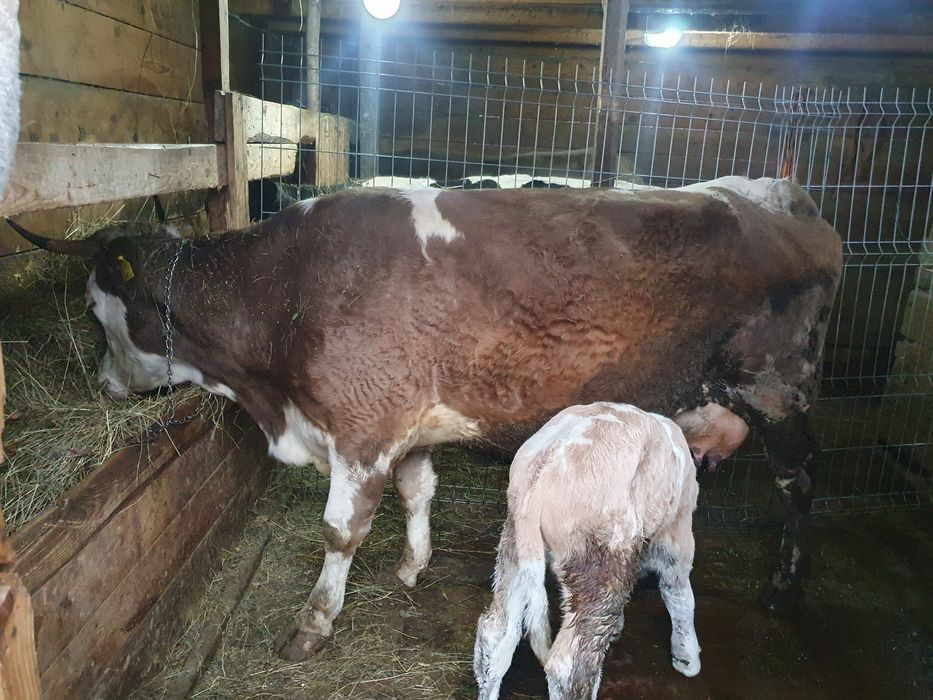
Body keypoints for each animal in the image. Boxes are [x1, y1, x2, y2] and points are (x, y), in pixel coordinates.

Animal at [8, 175, 842, 662]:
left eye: (96, 310)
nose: (106, 384)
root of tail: (780, 196)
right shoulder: (402, 424)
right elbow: (417, 493)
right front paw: (412, 565)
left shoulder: (360, 427)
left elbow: (340, 531)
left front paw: (315, 620)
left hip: (780, 388)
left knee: (800, 482)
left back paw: (784, 586)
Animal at [474, 402, 702, 700]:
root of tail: (541, 476)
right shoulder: (676, 534)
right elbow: (679, 595)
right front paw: (687, 658)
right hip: (597, 559)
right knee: (568, 666)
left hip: (515, 546)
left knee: (495, 634)